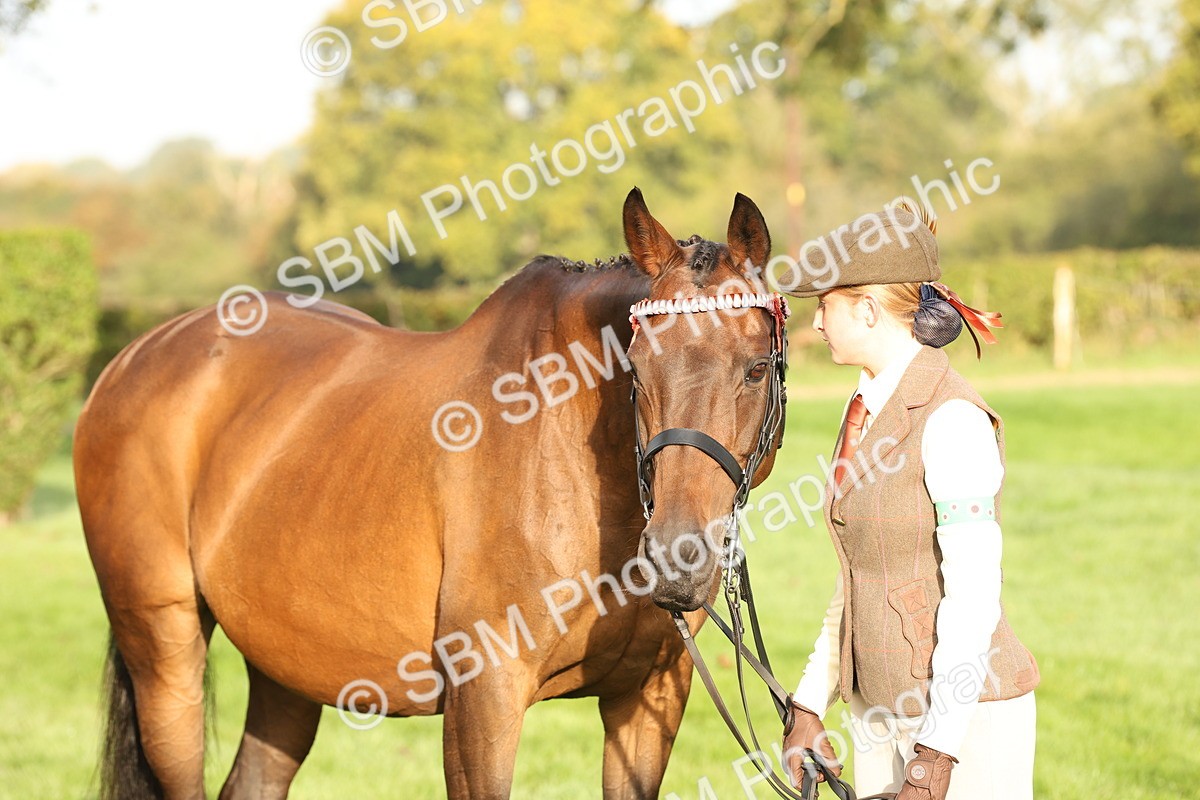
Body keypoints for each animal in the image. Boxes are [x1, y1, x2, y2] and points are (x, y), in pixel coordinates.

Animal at [75, 187, 786, 799]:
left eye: (755, 369)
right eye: (634, 370)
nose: (677, 560)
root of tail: (133, 356)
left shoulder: (648, 697)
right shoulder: (483, 704)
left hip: (283, 665)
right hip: (164, 651)